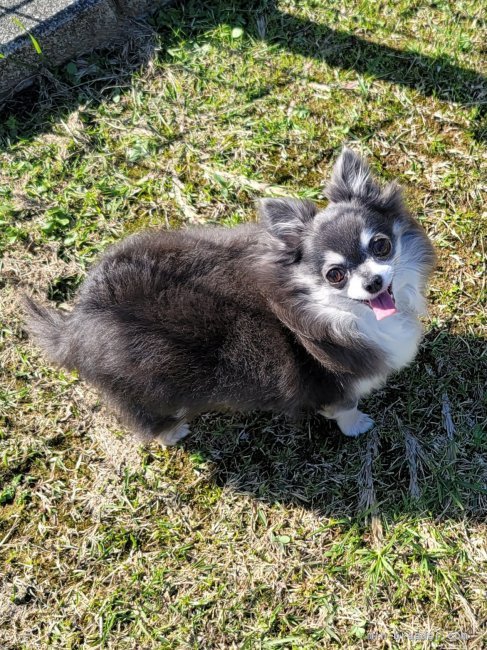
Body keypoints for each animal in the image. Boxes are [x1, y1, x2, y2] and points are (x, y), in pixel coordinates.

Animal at [22, 151, 436, 446]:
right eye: (335, 275)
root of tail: (77, 322)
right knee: (149, 420)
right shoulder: (330, 383)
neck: (339, 315)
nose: (373, 282)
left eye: (381, 246)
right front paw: (357, 425)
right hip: (146, 389)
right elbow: (344, 407)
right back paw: (172, 434)